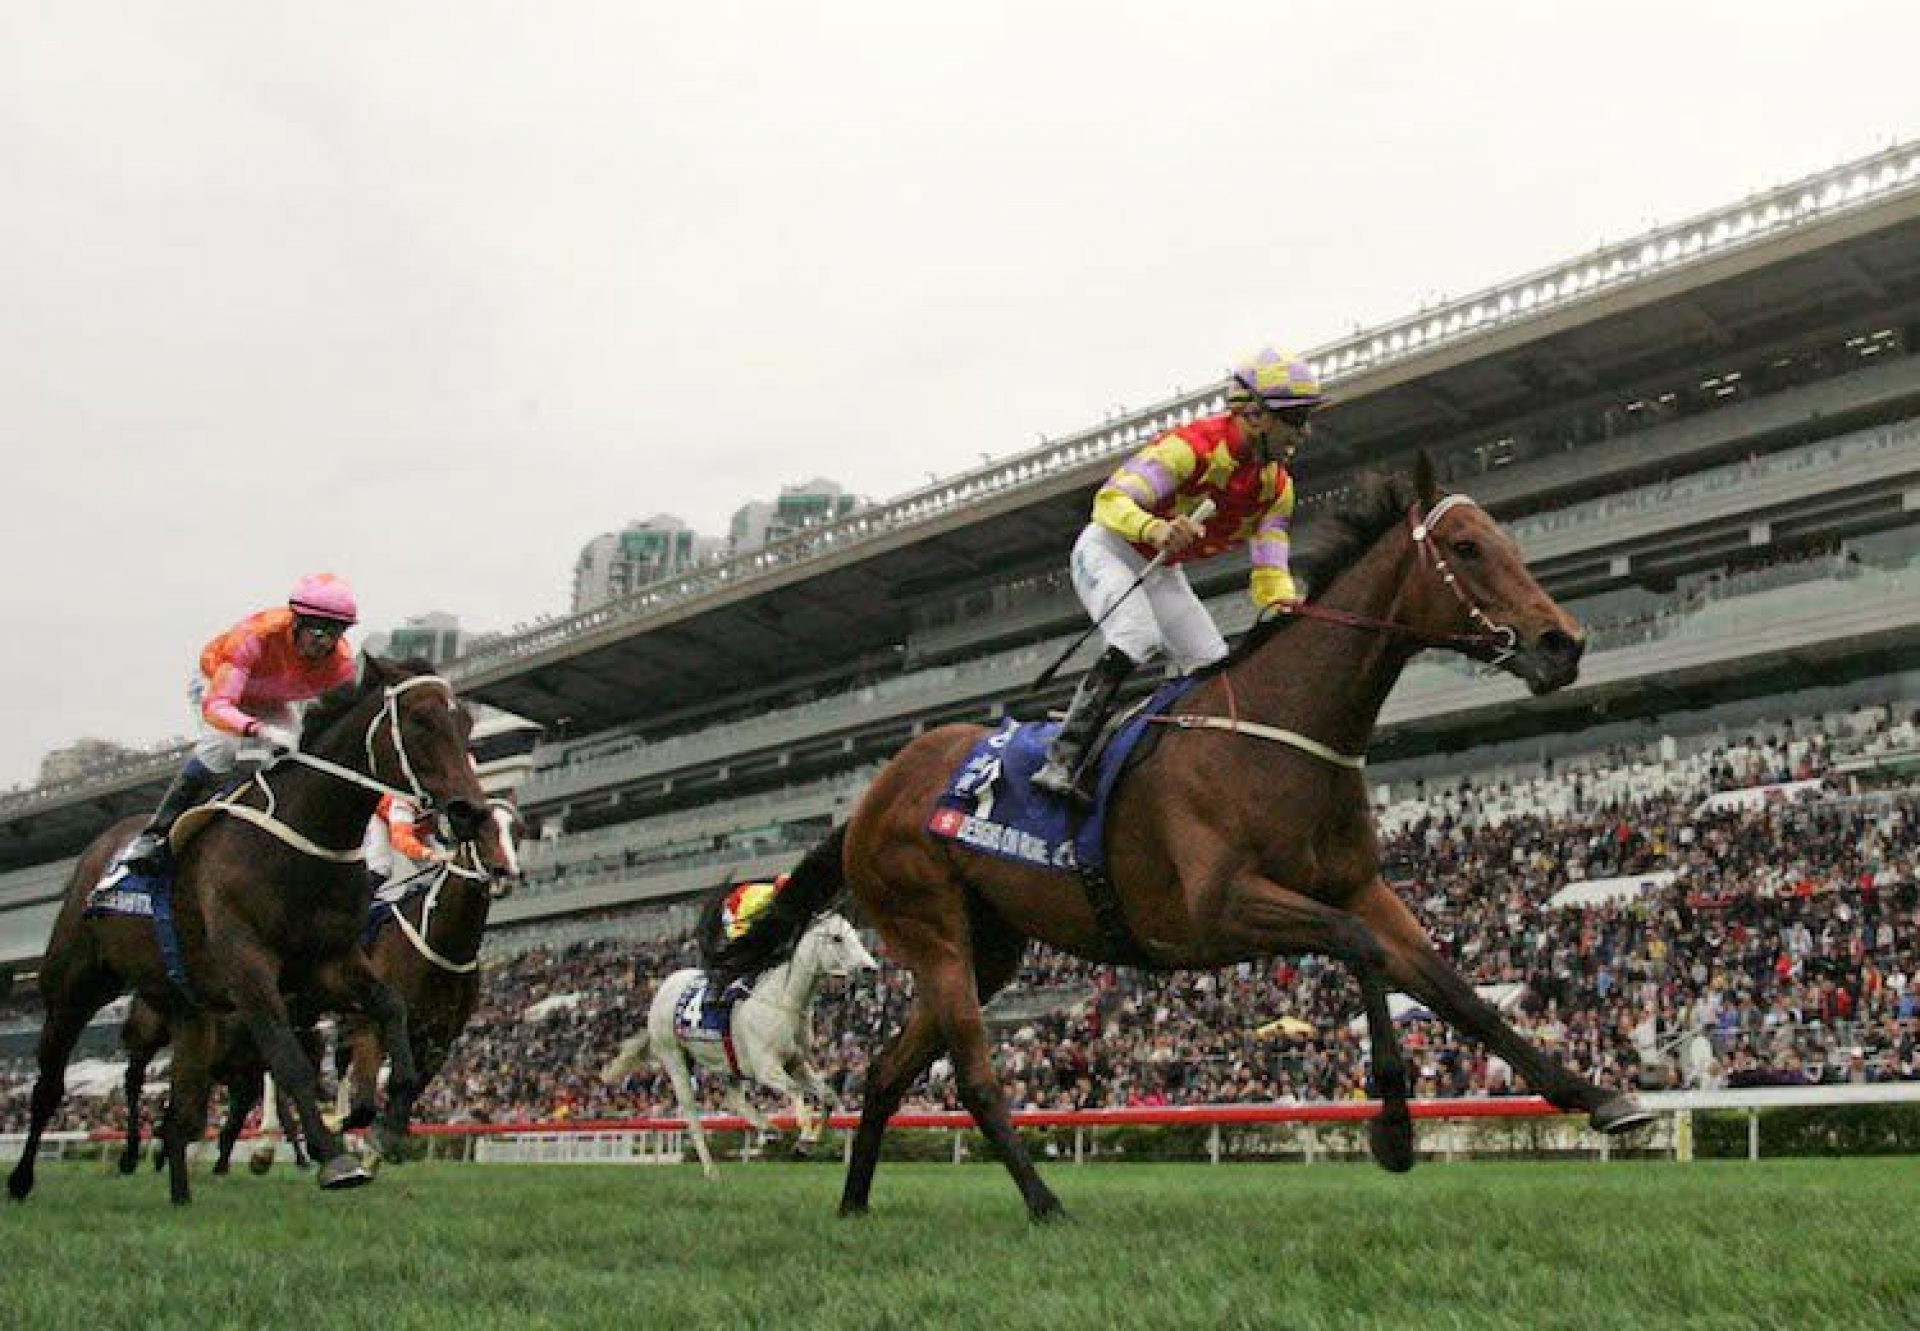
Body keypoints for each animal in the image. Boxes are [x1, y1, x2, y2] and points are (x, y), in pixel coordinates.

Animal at [9, 653, 487, 1206]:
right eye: (420, 720)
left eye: (466, 722)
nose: (471, 812)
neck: (301, 846)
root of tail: (100, 847)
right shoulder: (249, 971)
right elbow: (288, 1059)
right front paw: (335, 1157)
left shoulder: (330, 963)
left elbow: (389, 1009)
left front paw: (386, 1125)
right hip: (75, 987)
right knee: (53, 1086)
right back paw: (25, 1177)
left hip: (187, 1009)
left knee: (180, 1111)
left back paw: (179, 1191)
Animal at [334, 795, 522, 1144]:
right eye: (482, 828)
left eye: (518, 831)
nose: (505, 873)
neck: (441, 945)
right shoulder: (373, 1023)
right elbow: (367, 1100)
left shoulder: (438, 1039)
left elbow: (405, 1091)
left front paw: (385, 1136)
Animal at [602, 914, 879, 1175]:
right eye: (837, 938)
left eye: (856, 935)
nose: (870, 969)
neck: (783, 1000)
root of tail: (664, 987)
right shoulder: (766, 1068)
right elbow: (797, 1091)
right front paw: (805, 1135)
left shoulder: (796, 1062)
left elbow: (828, 1096)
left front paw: (804, 1142)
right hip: (674, 1057)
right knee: (692, 1113)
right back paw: (711, 1169)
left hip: (728, 1062)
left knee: (732, 1101)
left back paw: (769, 1128)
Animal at [725, 455, 1658, 1213]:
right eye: (1466, 547)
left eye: (1506, 540)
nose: (1564, 643)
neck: (1283, 733)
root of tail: (870, 795)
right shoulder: (1220, 908)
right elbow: (1359, 948)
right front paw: (1393, 1127)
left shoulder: (1359, 886)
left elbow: (1451, 988)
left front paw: (1600, 1098)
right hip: (933, 928)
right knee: (977, 1076)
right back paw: (1045, 1201)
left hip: (989, 947)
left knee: (885, 1069)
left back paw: (855, 1204)